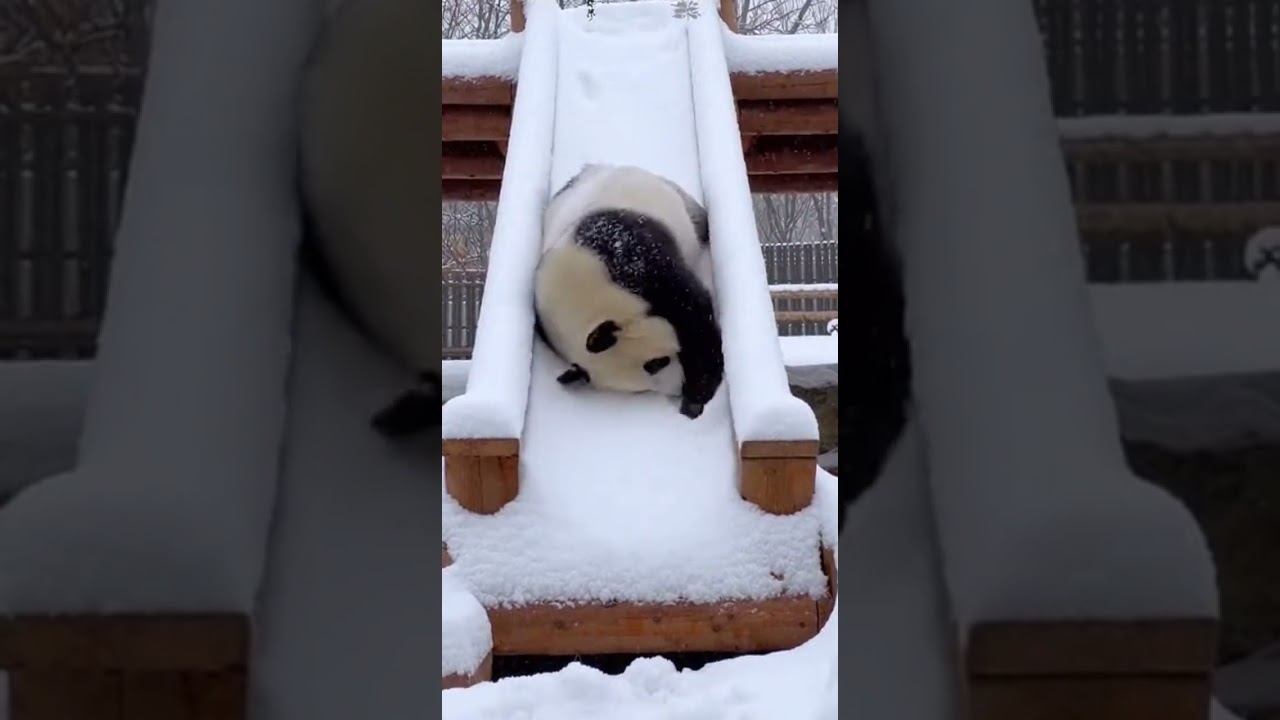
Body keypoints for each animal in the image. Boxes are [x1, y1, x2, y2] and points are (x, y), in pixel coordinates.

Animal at [533, 164, 725, 420]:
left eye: (656, 363)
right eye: (641, 389)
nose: (677, 390)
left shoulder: (632, 261)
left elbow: (693, 313)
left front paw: (697, 395)